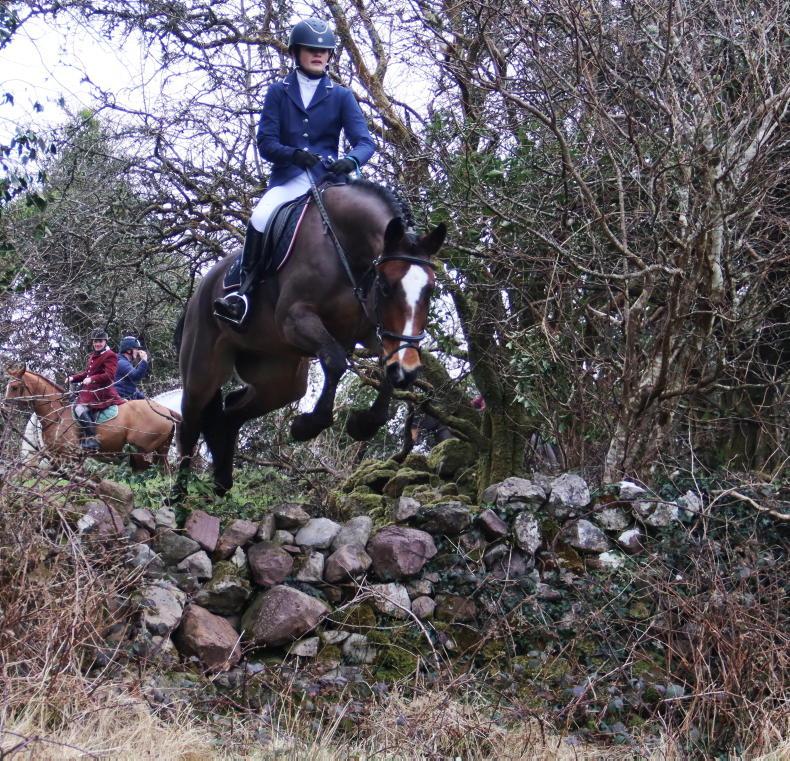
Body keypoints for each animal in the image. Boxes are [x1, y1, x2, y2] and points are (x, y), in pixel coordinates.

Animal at [3, 362, 180, 470]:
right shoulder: (60, 457)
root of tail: (166, 411)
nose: (4, 407)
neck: (58, 414)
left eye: (14, 387)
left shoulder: (68, 457)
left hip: (142, 453)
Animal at [175, 178, 446, 497]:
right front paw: (307, 426)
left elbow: (383, 368)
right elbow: (335, 361)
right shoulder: (295, 320)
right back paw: (179, 496)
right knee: (189, 424)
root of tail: (201, 290)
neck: (345, 248)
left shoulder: (369, 331)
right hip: (202, 372)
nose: (408, 367)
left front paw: (364, 424)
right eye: (385, 286)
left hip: (281, 381)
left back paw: (220, 483)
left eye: (430, 290)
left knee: (230, 415)